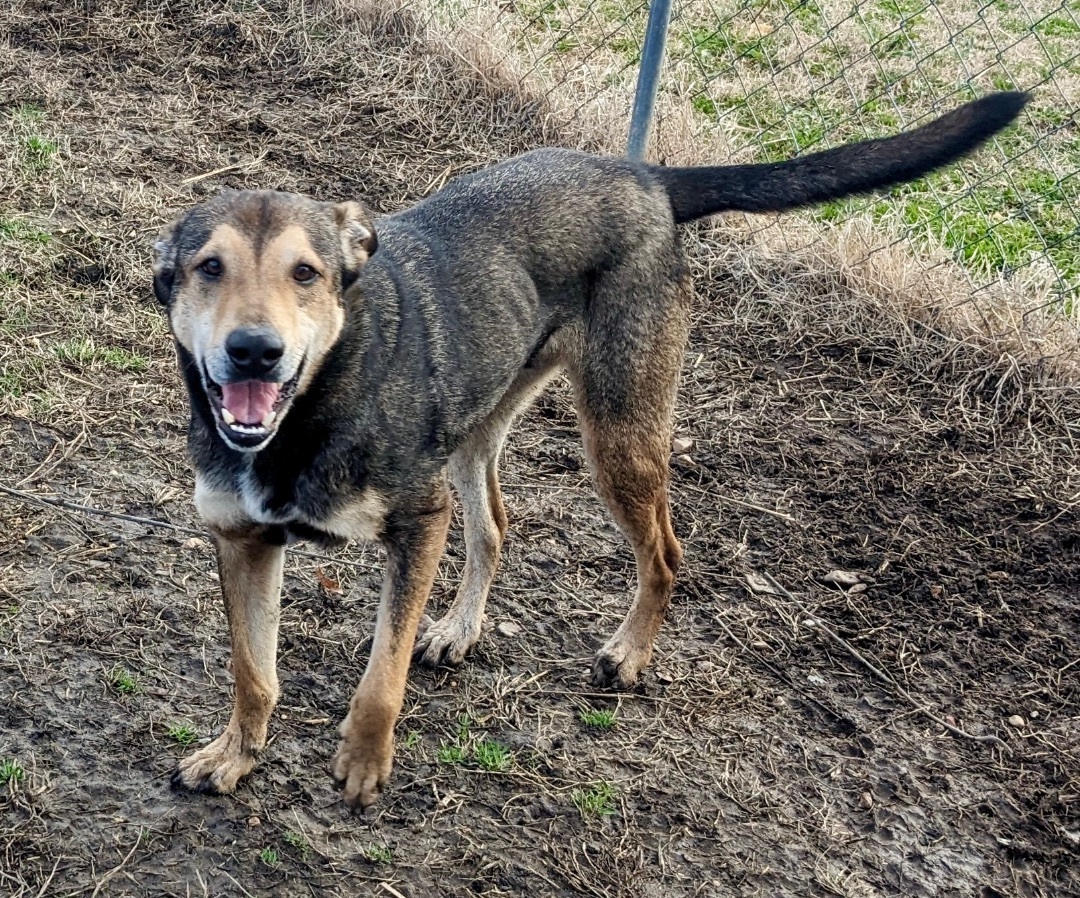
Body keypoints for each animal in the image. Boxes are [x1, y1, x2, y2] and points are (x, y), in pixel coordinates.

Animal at [154, 92, 1028, 808]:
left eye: (306, 273)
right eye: (208, 267)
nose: (254, 352)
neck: (306, 413)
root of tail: (646, 176)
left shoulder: (418, 522)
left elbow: (380, 675)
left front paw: (365, 762)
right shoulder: (240, 537)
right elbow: (253, 671)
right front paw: (235, 755)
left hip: (620, 435)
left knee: (666, 552)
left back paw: (629, 654)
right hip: (478, 429)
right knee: (497, 524)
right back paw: (459, 629)